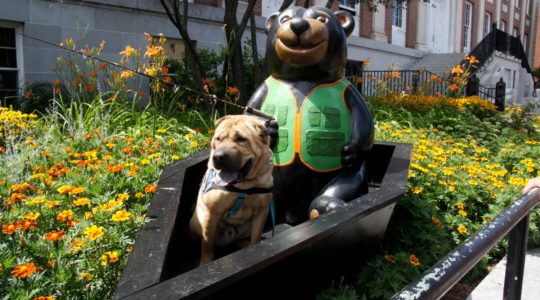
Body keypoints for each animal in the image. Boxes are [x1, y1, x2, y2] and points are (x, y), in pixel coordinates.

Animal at [190, 115, 274, 264]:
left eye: (241, 139)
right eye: (218, 139)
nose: (218, 157)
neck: (244, 188)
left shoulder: (262, 211)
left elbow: (256, 236)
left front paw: (254, 248)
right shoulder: (211, 213)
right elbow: (207, 244)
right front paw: (205, 262)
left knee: (238, 239)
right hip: (196, 222)